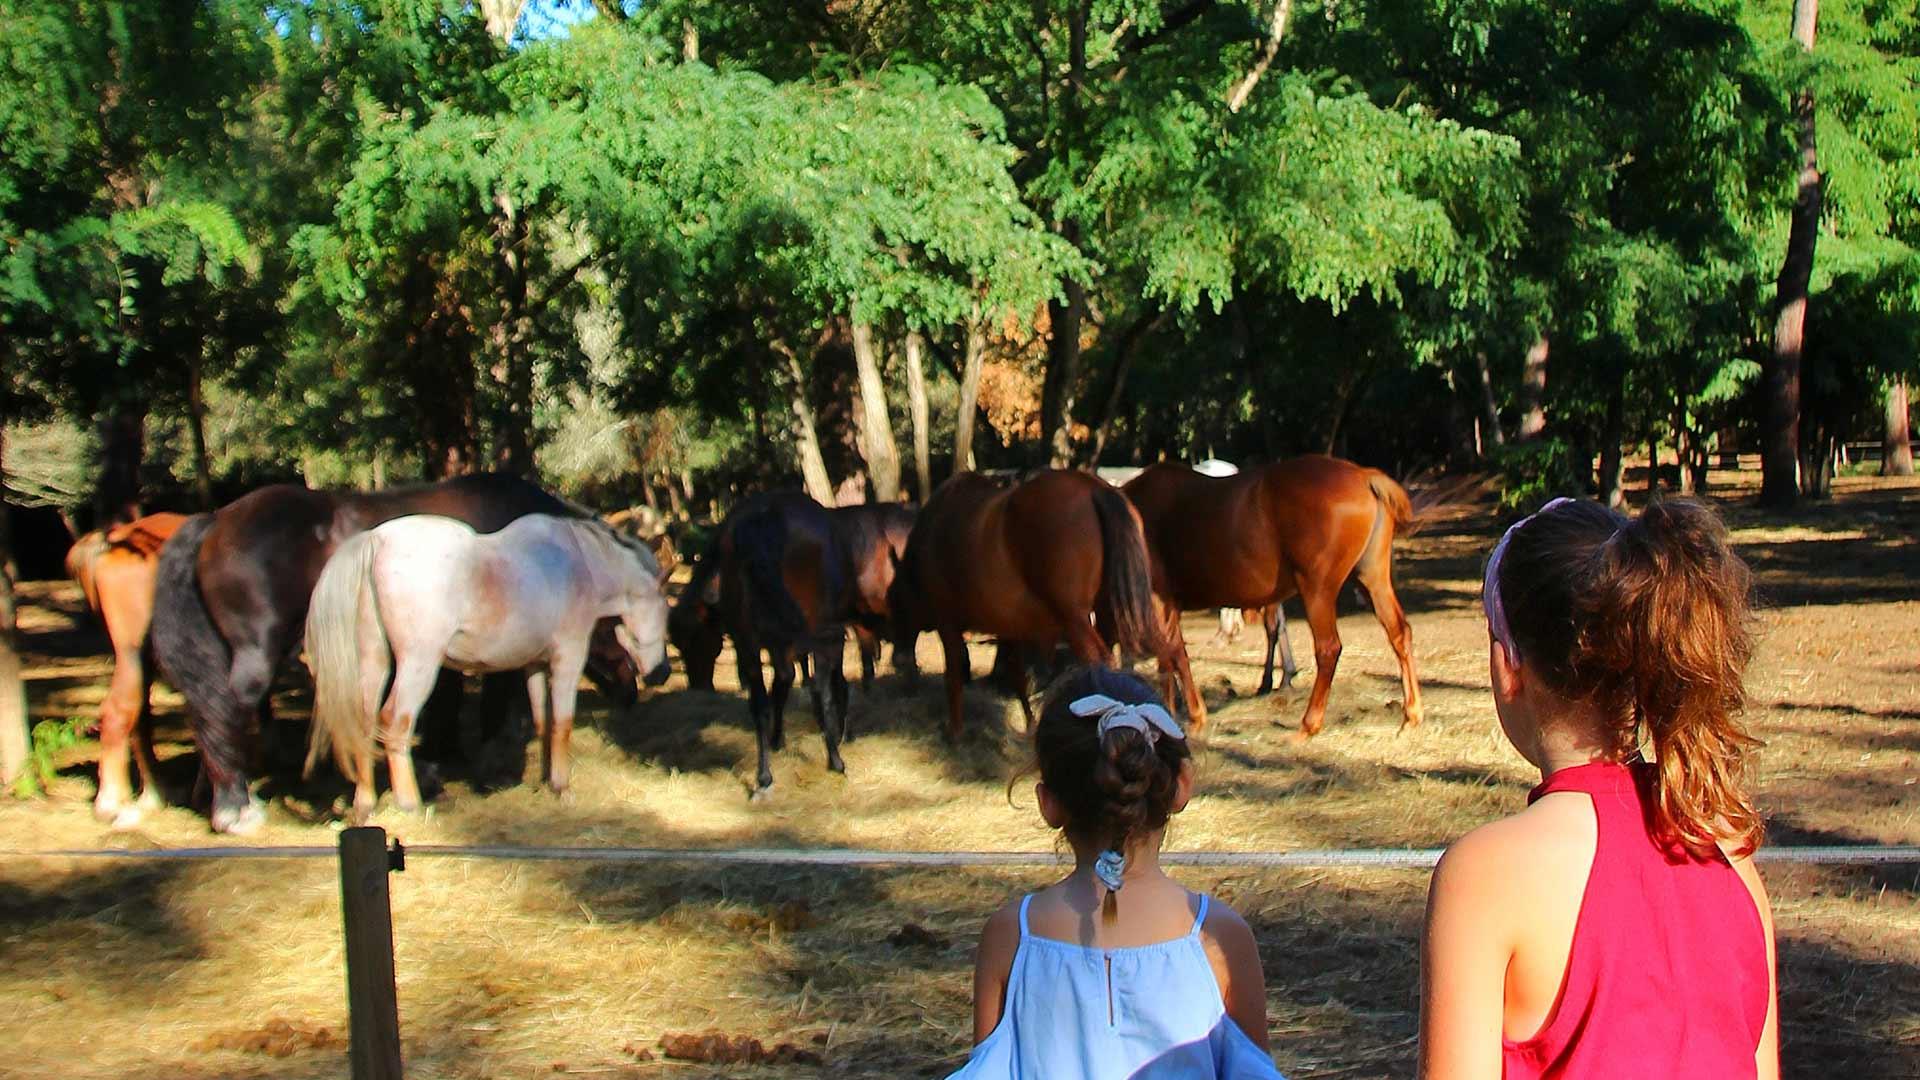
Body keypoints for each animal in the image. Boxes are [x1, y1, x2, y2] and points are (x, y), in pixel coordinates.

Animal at [64, 511, 186, 822]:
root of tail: (113, 541)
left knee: (139, 716)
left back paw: (152, 795)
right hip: (132, 652)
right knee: (119, 711)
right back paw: (112, 803)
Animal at [151, 470, 629, 834]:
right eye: (618, 621)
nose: (634, 683)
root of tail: (215, 520)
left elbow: (441, 707)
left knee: (210, 712)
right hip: (258, 655)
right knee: (224, 711)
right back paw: (234, 807)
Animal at [303, 507, 672, 818]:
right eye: (665, 610)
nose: (663, 673)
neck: (578, 566)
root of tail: (376, 541)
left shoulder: (535, 667)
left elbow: (543, 722)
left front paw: (545, 782)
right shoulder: (567, 662)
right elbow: (562, 724)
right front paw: (563, 787)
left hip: (374, 661)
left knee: (364, 721)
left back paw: (365, 803)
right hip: (419, 665)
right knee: (395, 723)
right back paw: (411, 804)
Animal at [883, 470, 1167, 737]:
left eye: (895, 603)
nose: (898, 659)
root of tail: (1095, 488)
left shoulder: (948, 623)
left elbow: (953, 674)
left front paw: (955, 732)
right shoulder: (1008, 627)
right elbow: (1017, 675)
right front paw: (1030, 725)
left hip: (1074, 619)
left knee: (1099, 660)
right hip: (1109, 610)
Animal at [1121, 453, 1420, 737]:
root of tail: (1362, 476)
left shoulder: (1159, 601)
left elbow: (1172, 656)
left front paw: (1187, 716)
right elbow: (1169, 658)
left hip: (1318, 590)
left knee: (1328, 648)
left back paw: (1308, 725)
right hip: (1372, 580)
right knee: (1399, 633)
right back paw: (1411, 716)